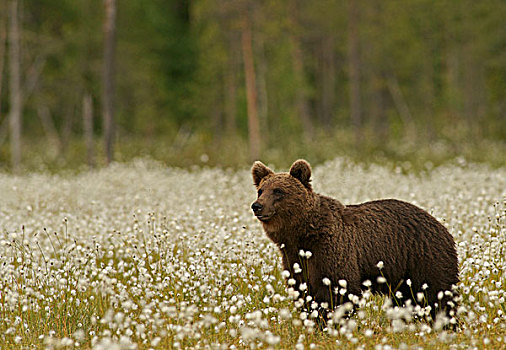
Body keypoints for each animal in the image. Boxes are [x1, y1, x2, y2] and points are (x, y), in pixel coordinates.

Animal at [251, 160, 460, 324]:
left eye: (278, 191)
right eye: (261, 190)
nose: (257, 205)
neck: (303, 236)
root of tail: (441, 226)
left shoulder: (332, 250)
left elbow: (338, 291)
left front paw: (332, 323)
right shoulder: (295, 258)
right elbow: (304, 292)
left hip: (424, 257)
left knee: (438, 293)